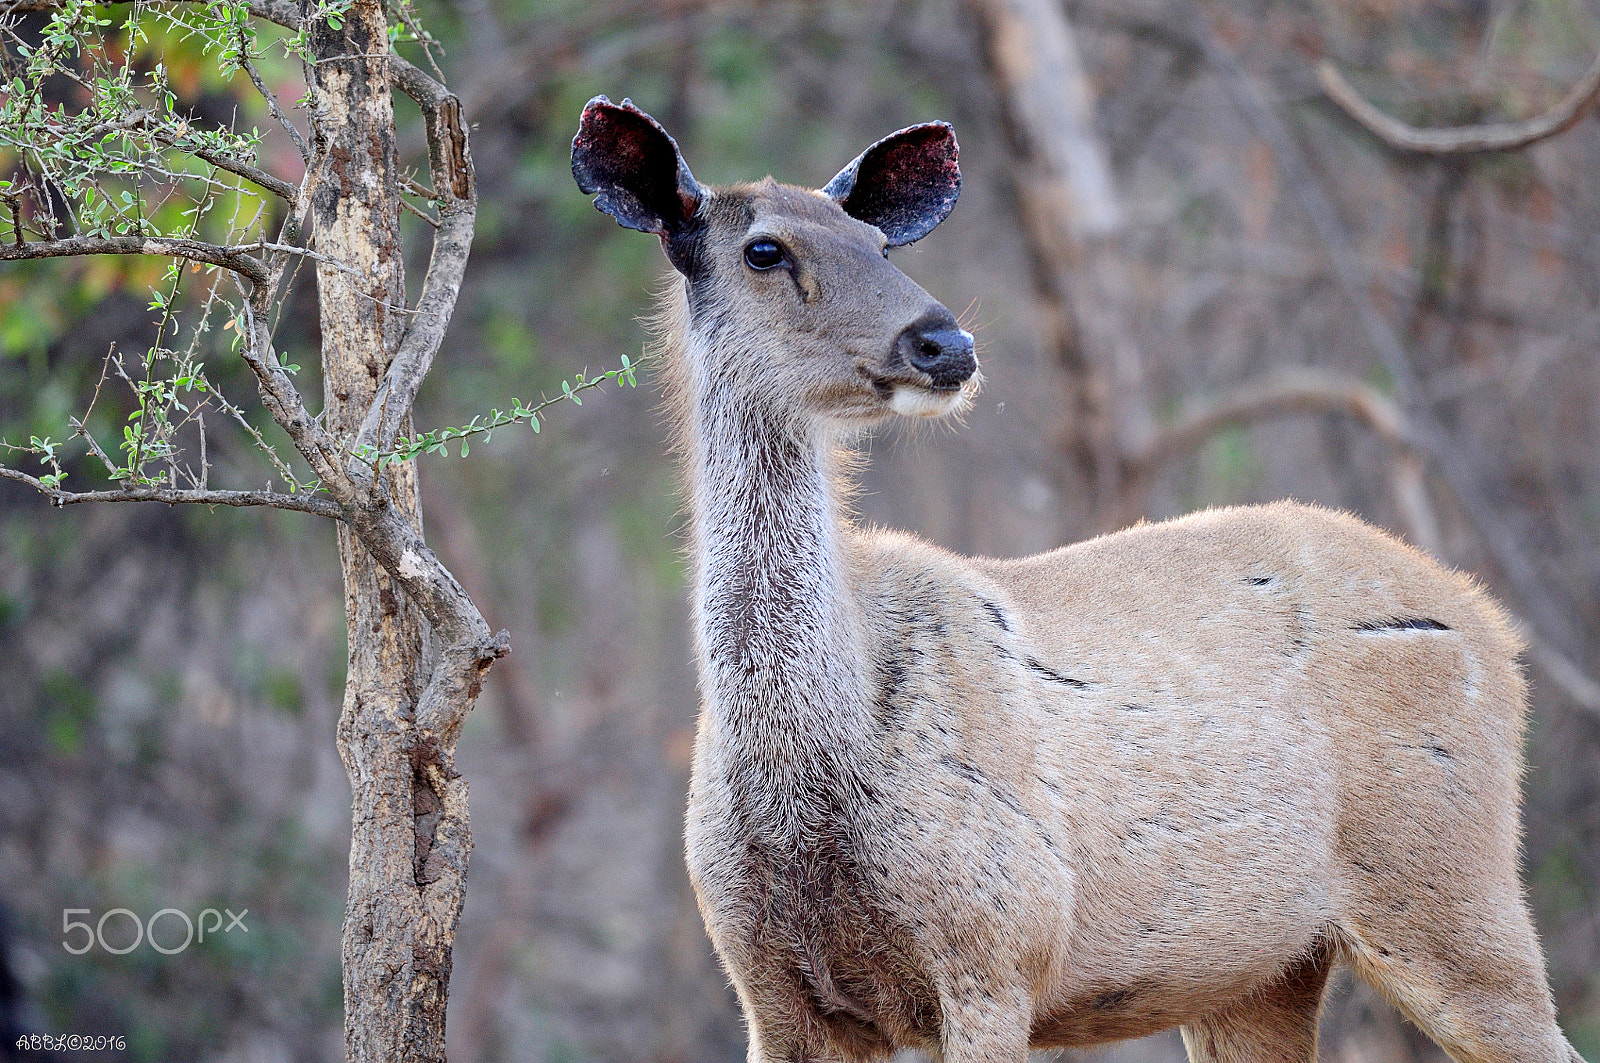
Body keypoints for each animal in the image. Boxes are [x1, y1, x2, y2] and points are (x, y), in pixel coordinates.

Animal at [569, 97, 1580, 1063]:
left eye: (879, 243)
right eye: (764, 249)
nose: (944, 341)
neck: (810, 774)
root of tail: (1493, 627)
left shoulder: (996, 950)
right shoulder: (770, 991)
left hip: (1449, 885)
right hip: (1263, 972)